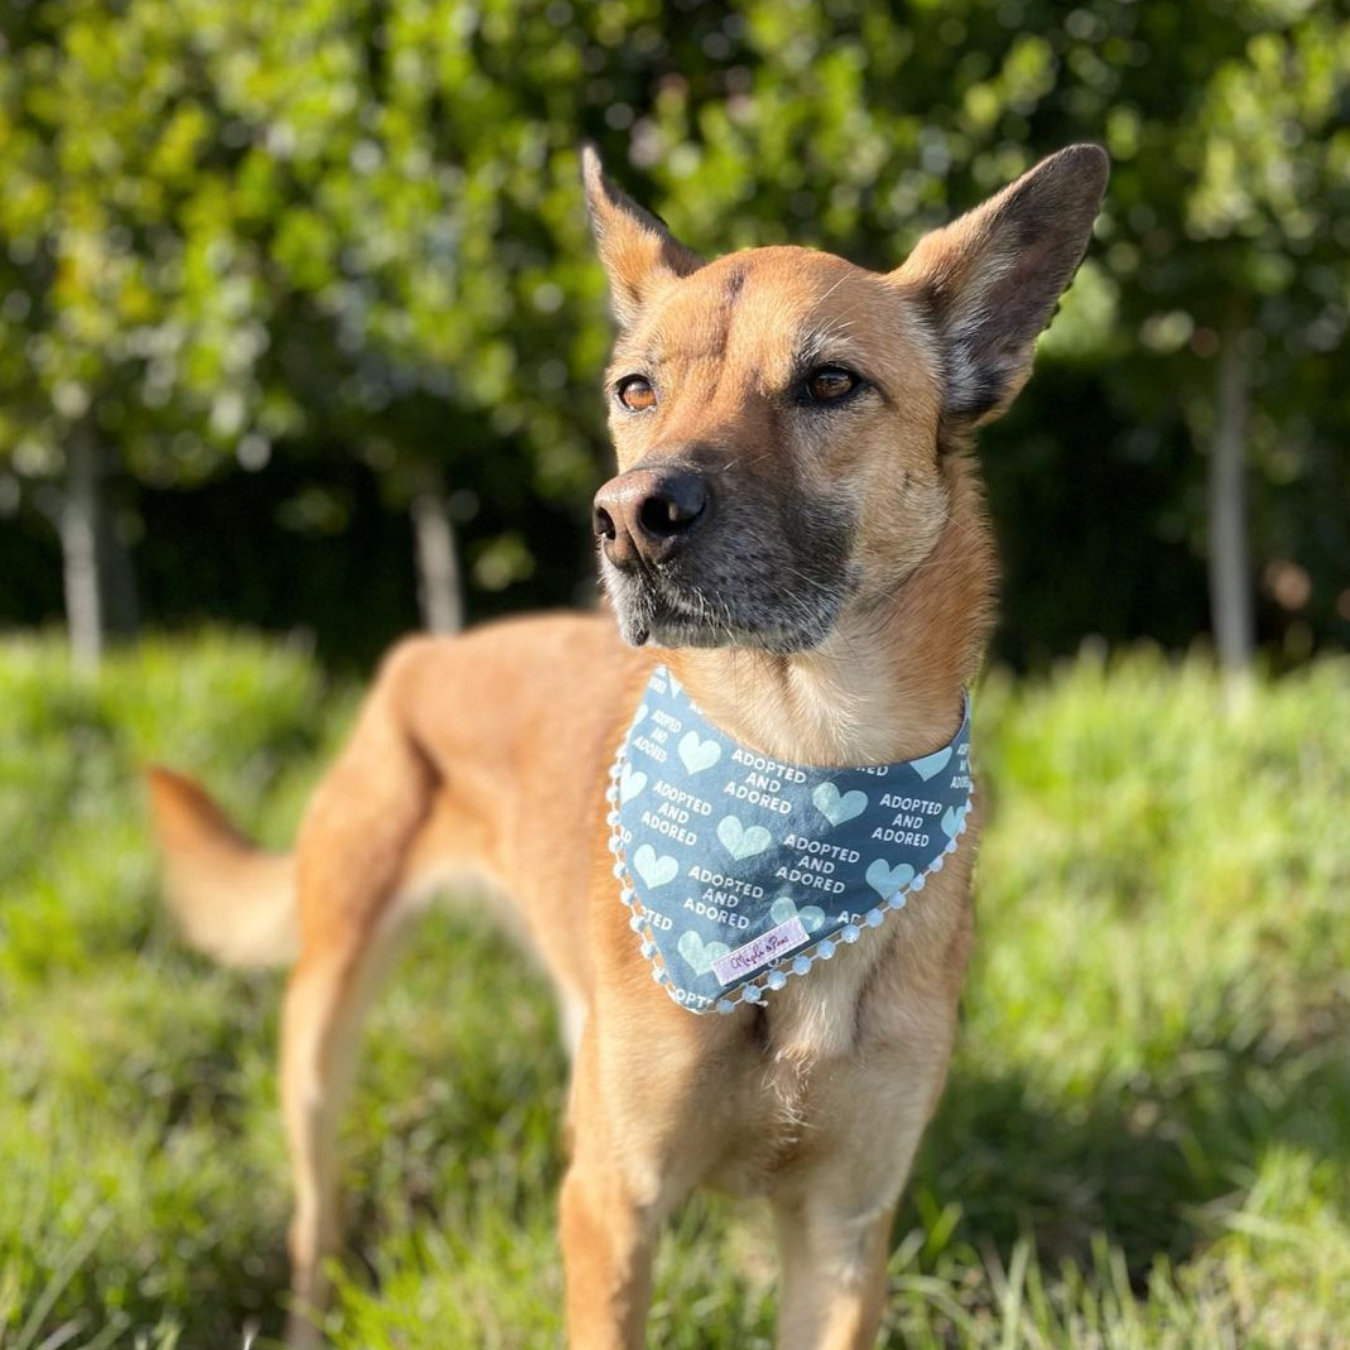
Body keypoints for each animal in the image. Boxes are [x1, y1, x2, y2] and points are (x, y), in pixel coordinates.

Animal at [150, 142, 1107, 1344]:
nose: (627, 521)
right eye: (635, 390)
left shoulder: (844, 1235)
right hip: (323, 1027)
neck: (801, 779)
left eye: (830, 383)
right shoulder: (614, 1205)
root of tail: (421, 655)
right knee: (314, 1216)